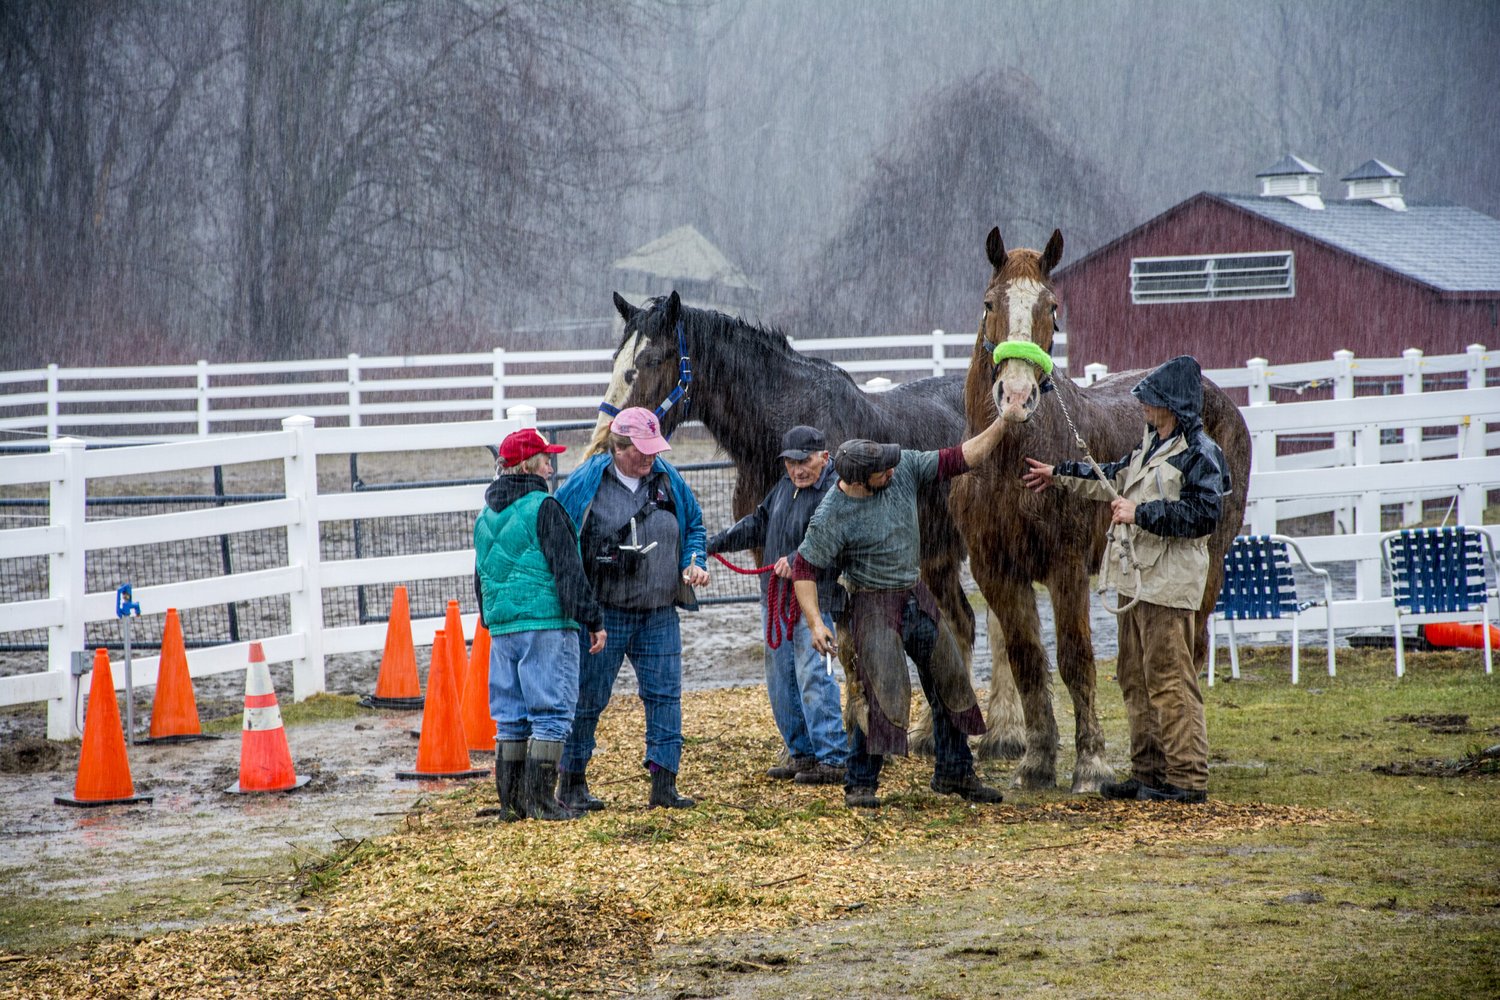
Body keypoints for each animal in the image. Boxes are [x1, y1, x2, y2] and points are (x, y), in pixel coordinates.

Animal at [602, 290, 1028, 758]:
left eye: (653, 359)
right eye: (617, 358)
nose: (610, 438)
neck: (786, 430)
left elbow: (844, 643)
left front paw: (856, 731)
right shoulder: (772, 551)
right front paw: (800, 746)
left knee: (1003, 628)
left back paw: (1004, 734)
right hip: (936, 556)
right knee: (960, 624)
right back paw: (930, 733)